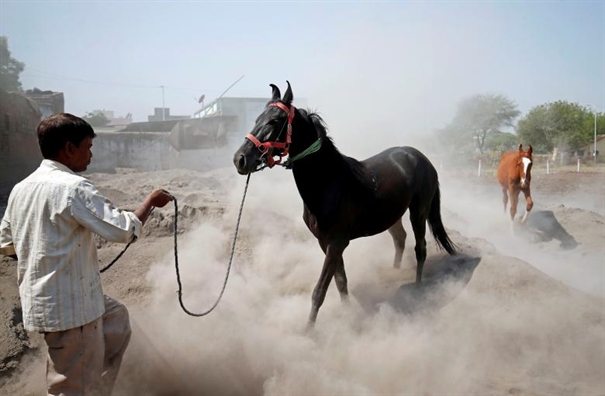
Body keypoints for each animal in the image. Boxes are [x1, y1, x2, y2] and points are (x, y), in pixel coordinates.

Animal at [234, 81, 456, 328]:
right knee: (400, 239)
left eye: (274, 121)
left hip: (418, 211)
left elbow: (320, 291)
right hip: (392, 215)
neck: (329, 183)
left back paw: (417, 288)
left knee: (420, 248)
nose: (240, 159)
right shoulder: (325, 243)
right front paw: (348, 315)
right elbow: (341, 281)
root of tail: (420, 156)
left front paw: (308, 330)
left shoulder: (336, 243)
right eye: (256, 119)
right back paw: (395, 272)